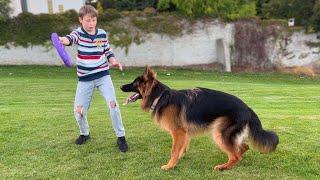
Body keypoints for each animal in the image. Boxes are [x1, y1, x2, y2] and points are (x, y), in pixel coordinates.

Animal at [120, 67, 278, 171]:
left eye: (134, 83)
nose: (121, 86)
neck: (160, 97)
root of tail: (247, 108)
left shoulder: (178, 132)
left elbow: (174, 150)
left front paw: (169, 166)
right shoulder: (184, 133)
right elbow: (181, 148)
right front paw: (178, 160)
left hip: (218, 131)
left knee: (236, 156)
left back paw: (224, 166)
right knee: (243, 147)